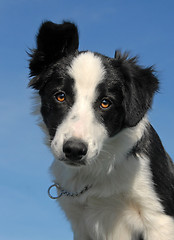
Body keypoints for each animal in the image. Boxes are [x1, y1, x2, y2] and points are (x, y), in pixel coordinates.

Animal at [28, 21, 174, 240]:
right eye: (60, 96)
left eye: (105, 103)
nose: (74, 150)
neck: (99, 172)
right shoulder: (81, 225)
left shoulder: (159, 219)